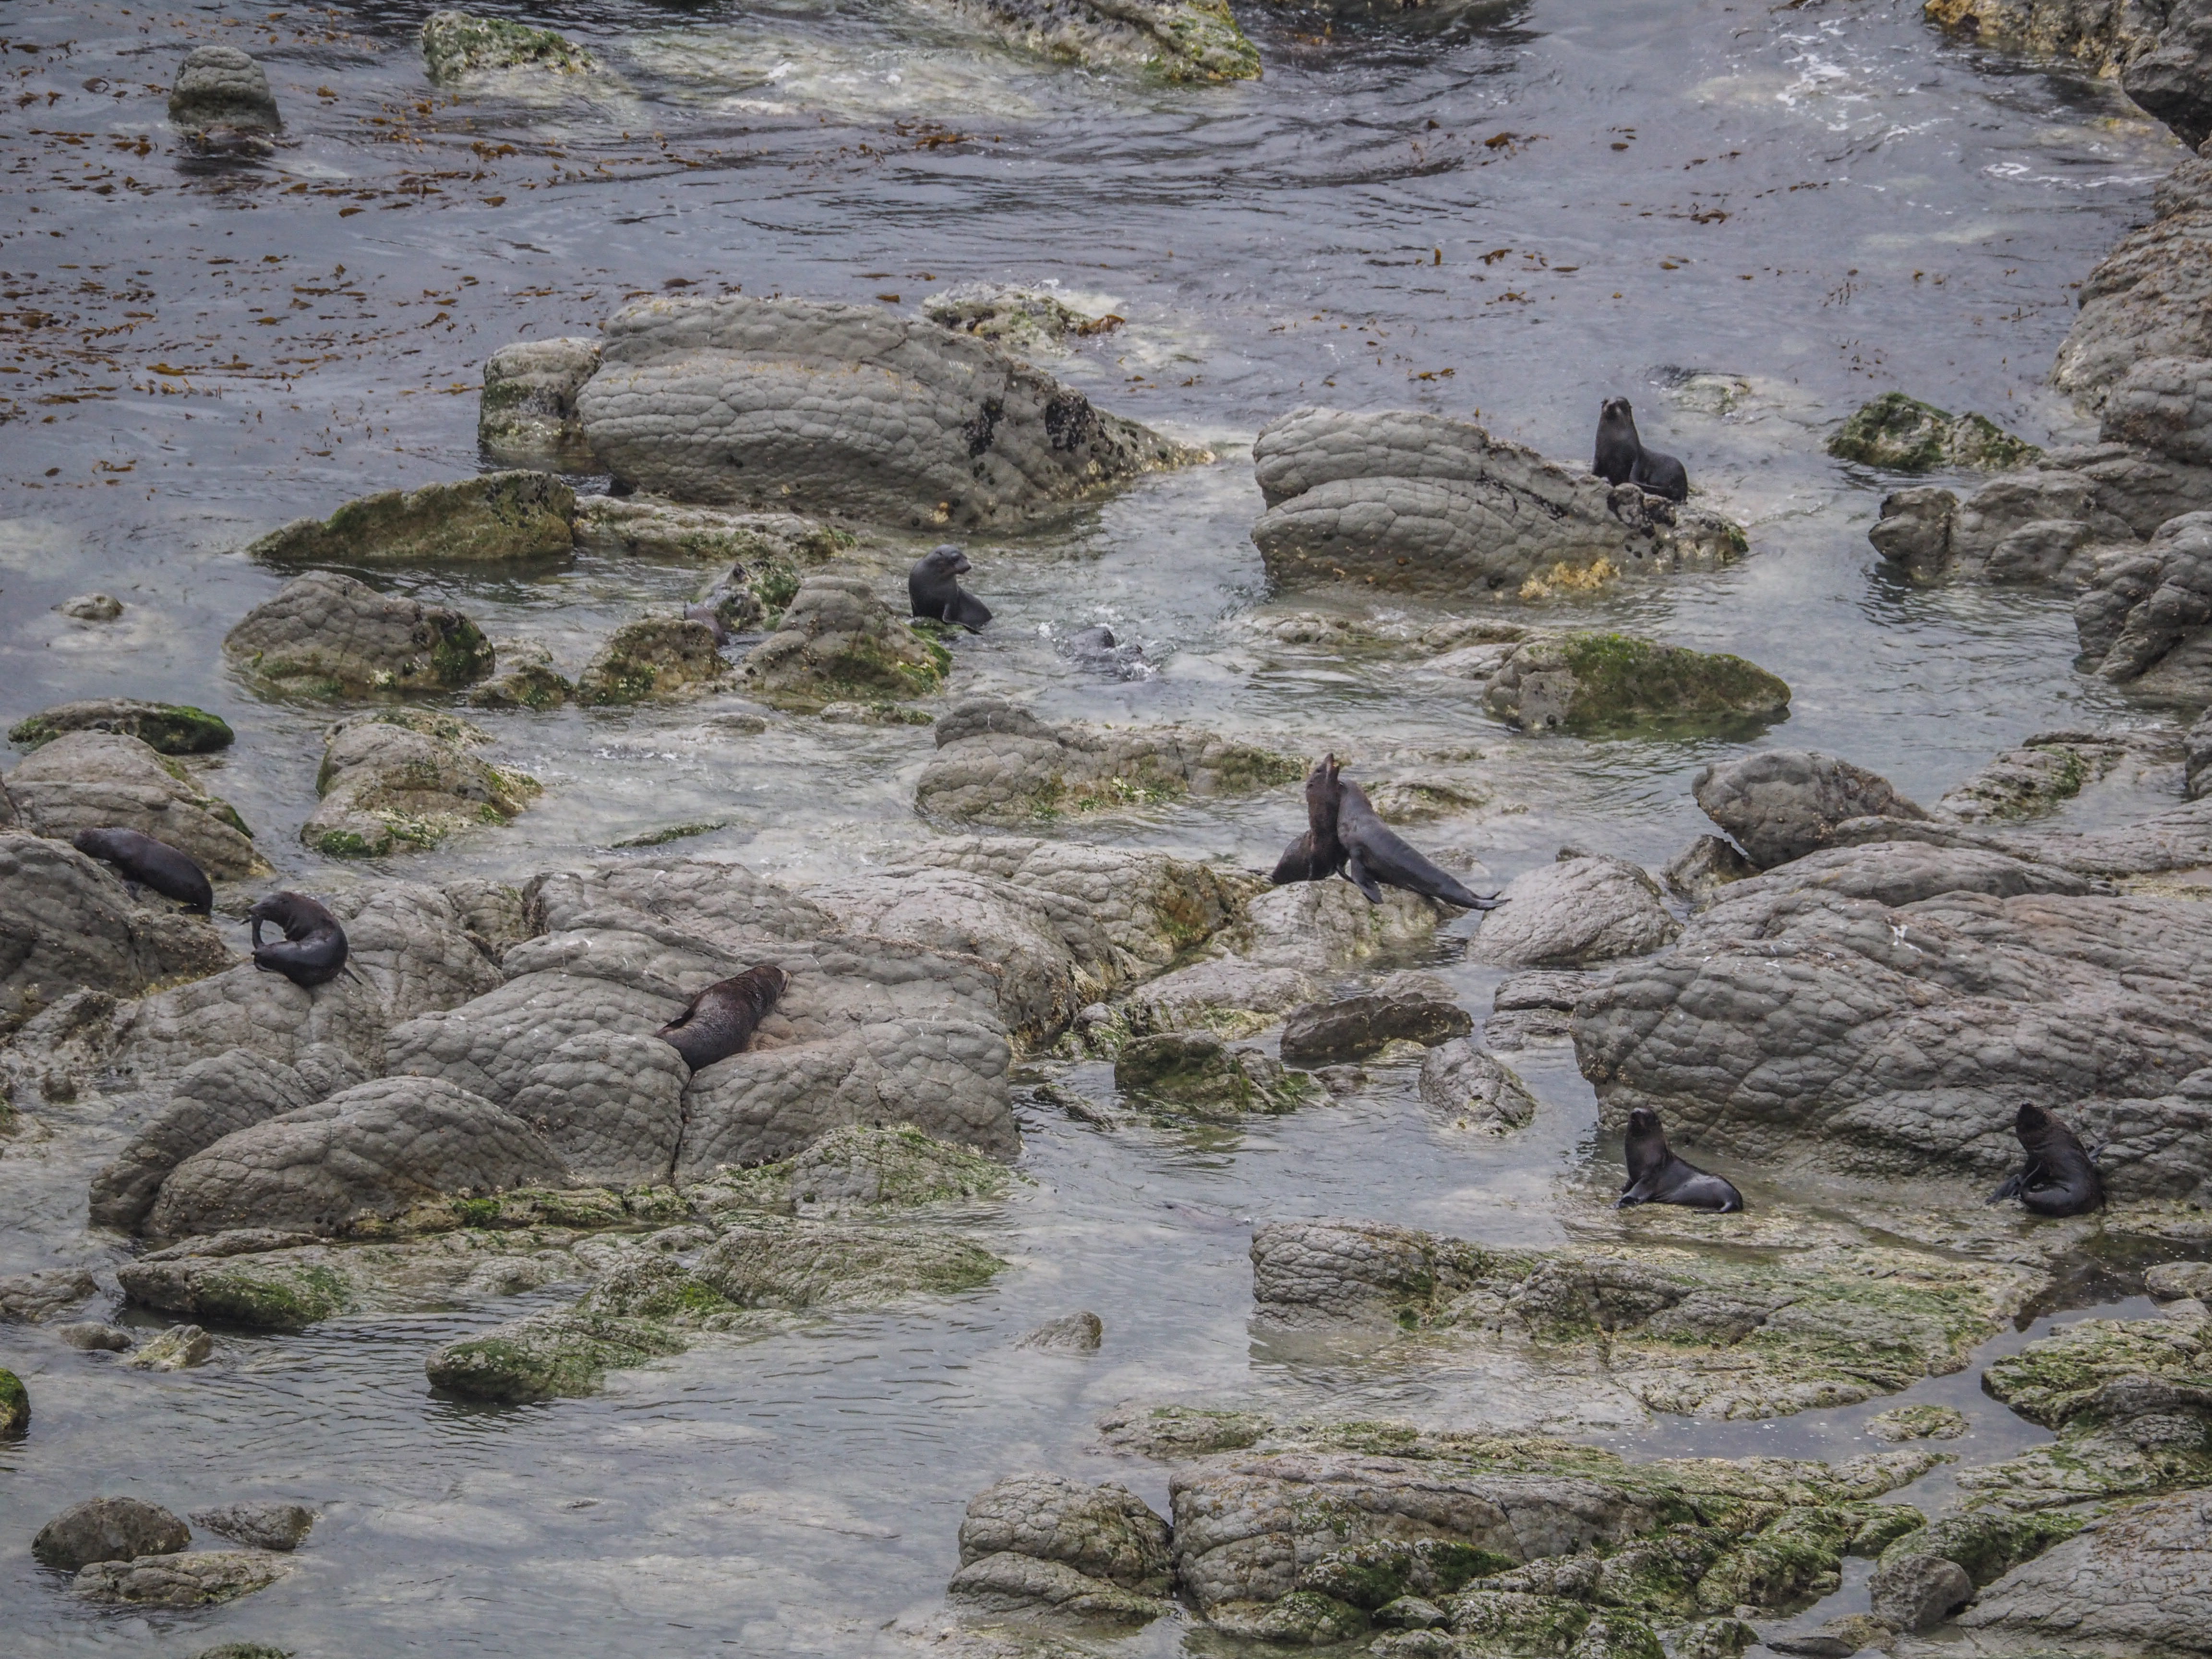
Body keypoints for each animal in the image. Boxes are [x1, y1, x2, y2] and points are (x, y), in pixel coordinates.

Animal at [71, 827, 213, 916]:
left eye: (85, 843)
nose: (74, 841)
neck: (114, 842)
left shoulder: (131, 865)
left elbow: (131, 878)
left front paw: (130, 890)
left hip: (202, 894)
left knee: (205, 908)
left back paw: (186, 909)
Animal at [246, 891, 350, 989]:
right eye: (261, 901)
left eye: (265, 904)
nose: (250, 908)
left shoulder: (294, 933)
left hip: (280, 948)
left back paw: (256, 921)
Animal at [909, 545, 993, 632]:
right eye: (955, 558)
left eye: (965, 557)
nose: (968, 566)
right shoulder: (913, 598)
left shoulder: (951, 598)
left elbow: (948, 614)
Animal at [1593, 397, 1689, 502]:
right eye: (1605, 401)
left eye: (1620, 403)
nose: (1611, 405)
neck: (1614, 444)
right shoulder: (1599, 456)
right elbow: (1594, 472)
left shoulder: (1636, 458)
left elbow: (1633, 477)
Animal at [1617, 1106, 1744, 1212]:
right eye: (1635, 1109)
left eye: (1648, 1115)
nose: (1636, 1112)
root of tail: (1734, 1199)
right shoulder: (1632, 1176)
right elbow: (1627, 1186)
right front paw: (1621, 1190)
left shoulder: (1650, 1177)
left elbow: (1636, 1192)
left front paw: (1621, 1203)